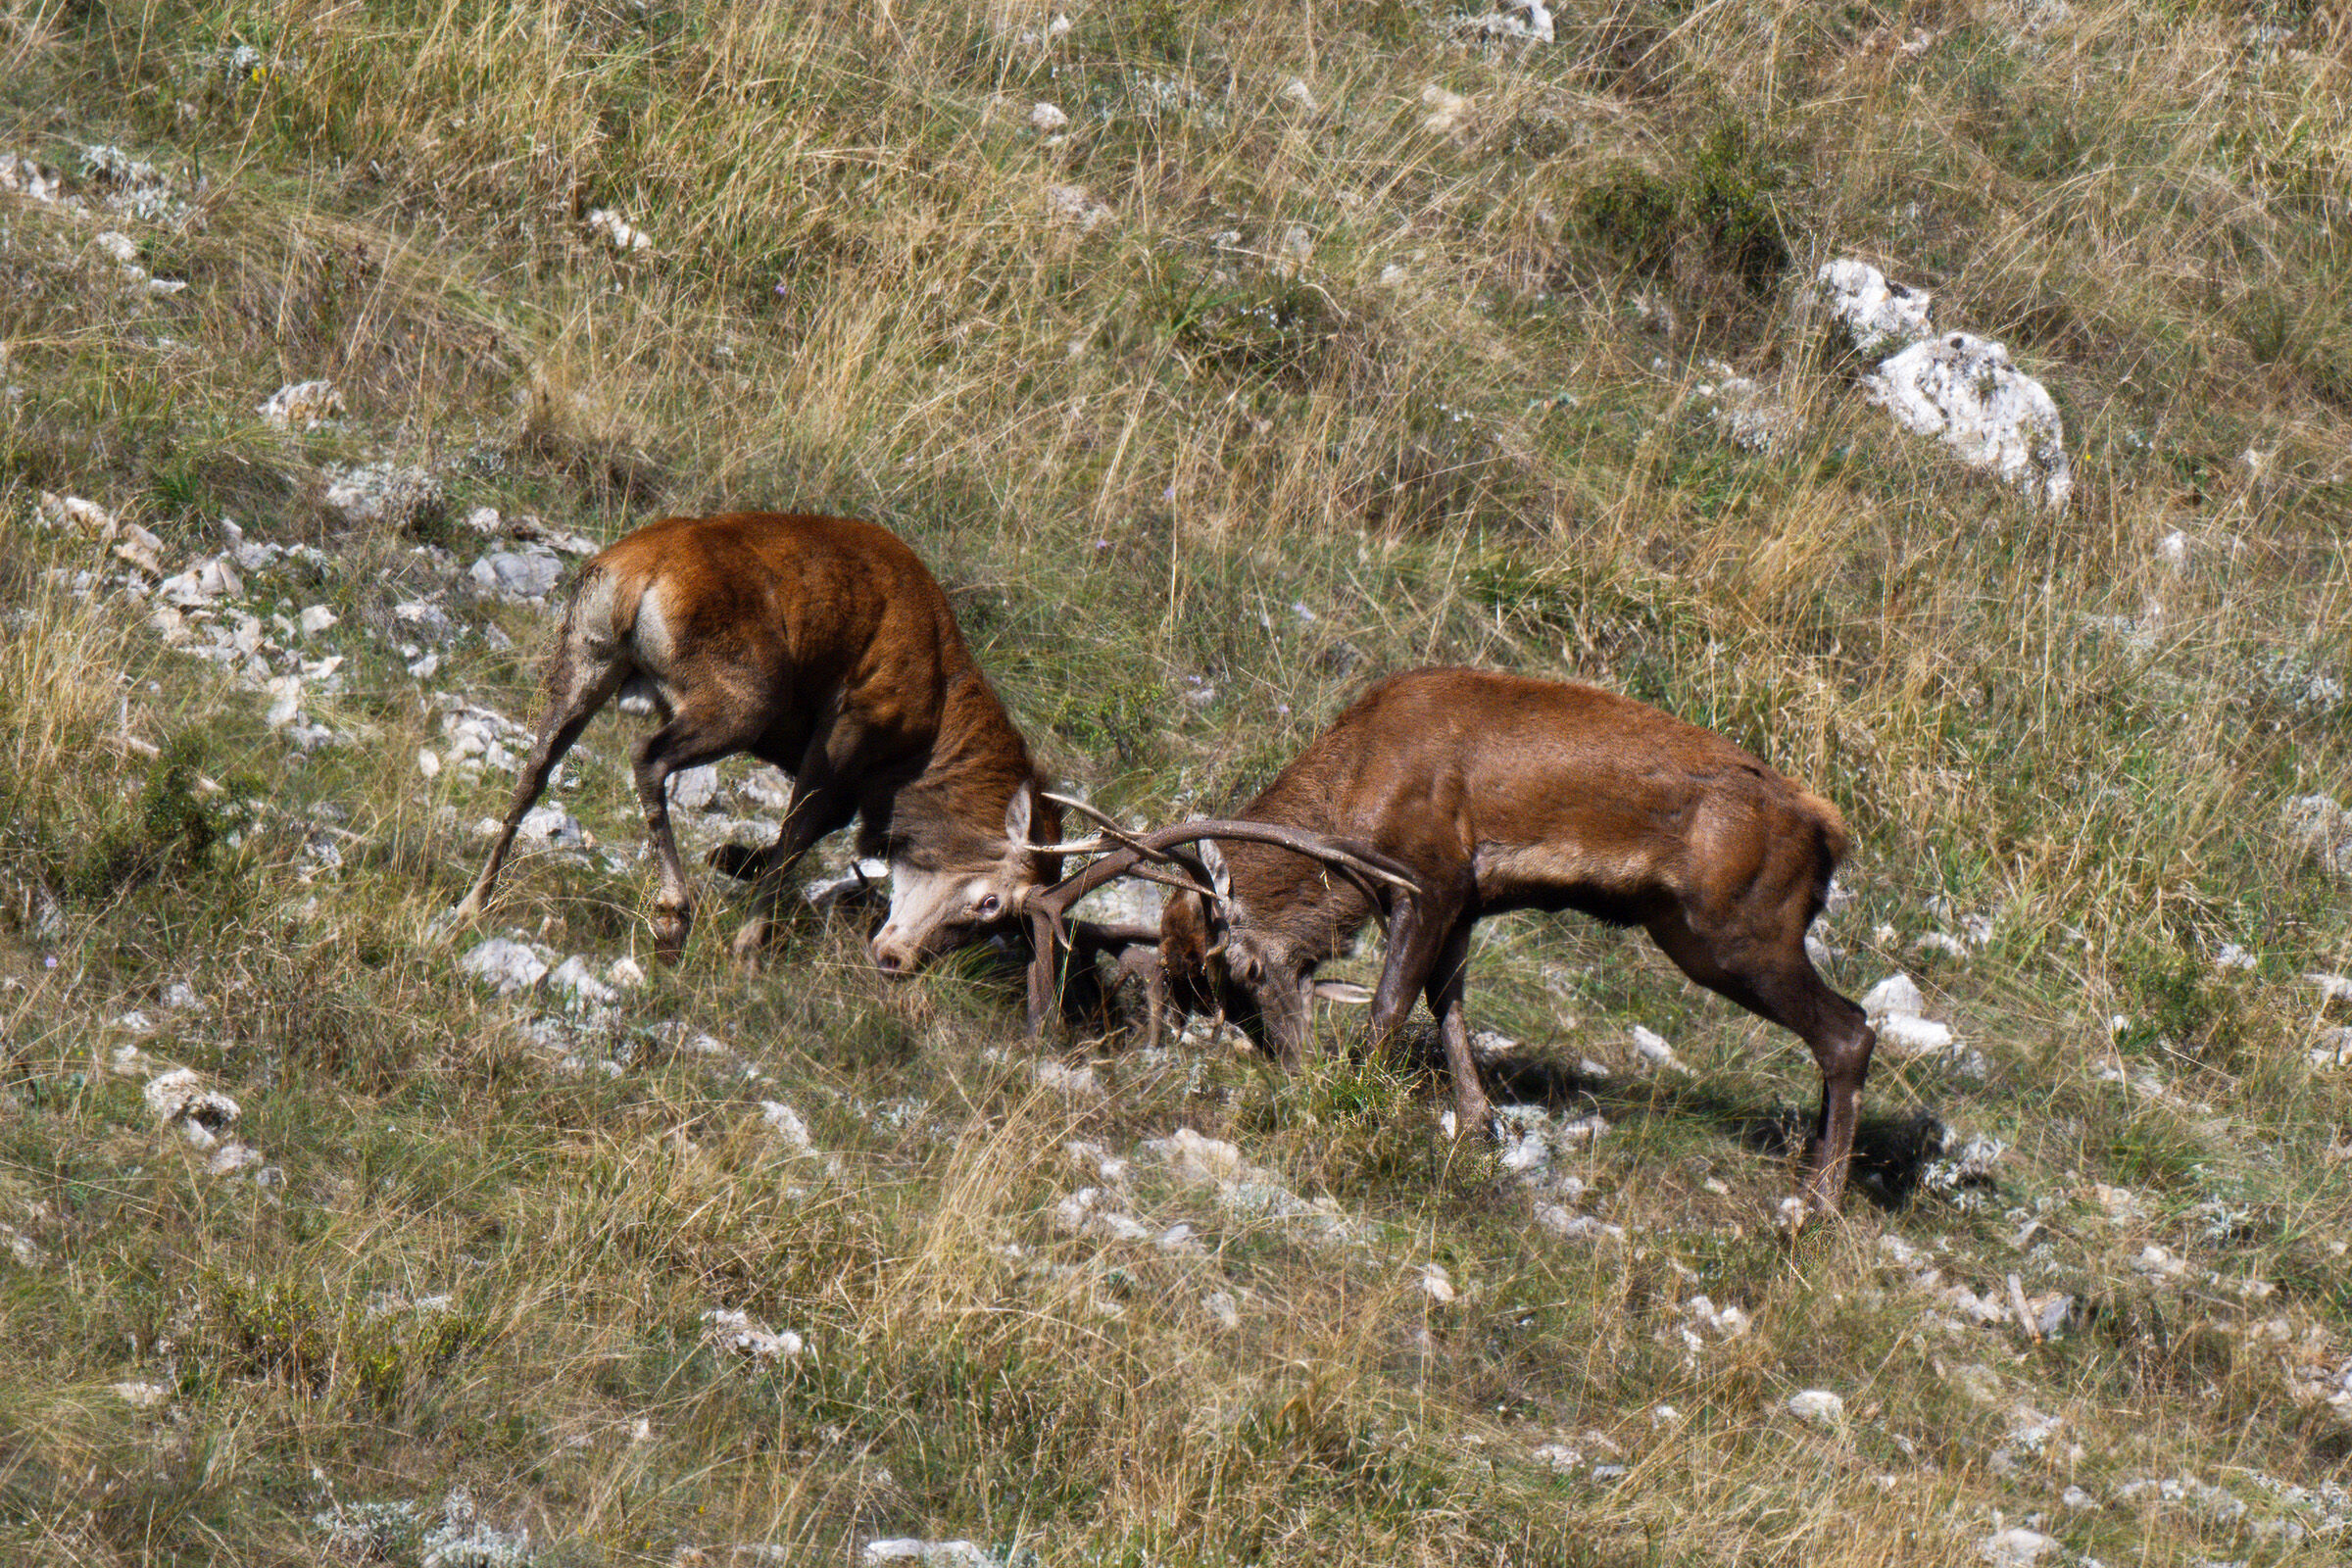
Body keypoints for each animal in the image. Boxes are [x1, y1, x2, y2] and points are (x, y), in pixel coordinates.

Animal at [449, 511, 1065, 973]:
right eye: (993, 903)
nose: (899, 961)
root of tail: (635, 575)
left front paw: (731, 858)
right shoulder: (848, 729)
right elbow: (798, 832)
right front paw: (748, 943)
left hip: (587, 654)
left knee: (537, 764)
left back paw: (473, 903)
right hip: (746, 697)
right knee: (648, 756)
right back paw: (672, 919)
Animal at [1115, 666, 1877, 1213]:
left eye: (1239, 968)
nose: (1292, 1065)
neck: (1354, 797)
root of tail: (1831, 830)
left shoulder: (1430, 878)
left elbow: (1389, 1006)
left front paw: (1348, 1099)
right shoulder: (1465, 905)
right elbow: (1446, 1004)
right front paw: (1481, 1126)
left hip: (1740, 930)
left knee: (1851, 1029)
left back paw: (1816, 1205)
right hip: (1689, 932)